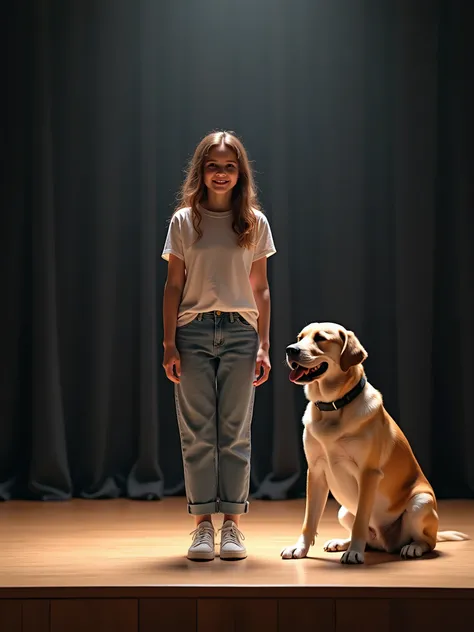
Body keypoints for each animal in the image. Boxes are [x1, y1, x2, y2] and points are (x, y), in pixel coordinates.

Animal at [280, 320, 468, 564]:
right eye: (300, 337)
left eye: (320, 338)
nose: (290, 350)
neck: (334, 406)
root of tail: (387, 544)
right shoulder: (316, 472)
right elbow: (309, 520)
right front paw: (300, 548)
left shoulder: (368, 474)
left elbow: (361, 519)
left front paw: (354, 552)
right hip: (343, 511)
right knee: (370, 540)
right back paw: (342, 542)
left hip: (420, 503)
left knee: (428, 541)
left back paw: (412, 547)